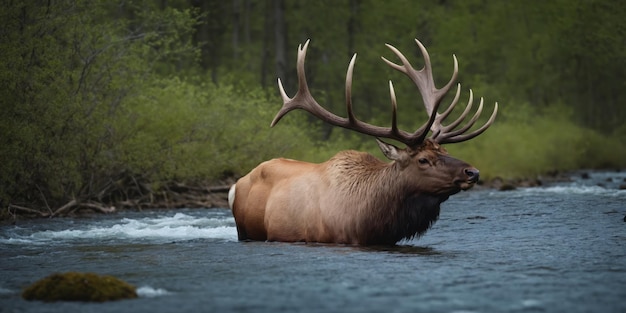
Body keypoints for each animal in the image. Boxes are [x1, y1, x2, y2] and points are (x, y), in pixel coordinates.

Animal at [227, 38, 494, 244]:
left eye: (445, 150)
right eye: (423, 160)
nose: (473, 172)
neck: (369, 220)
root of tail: (235, 185)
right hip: (245, 230)